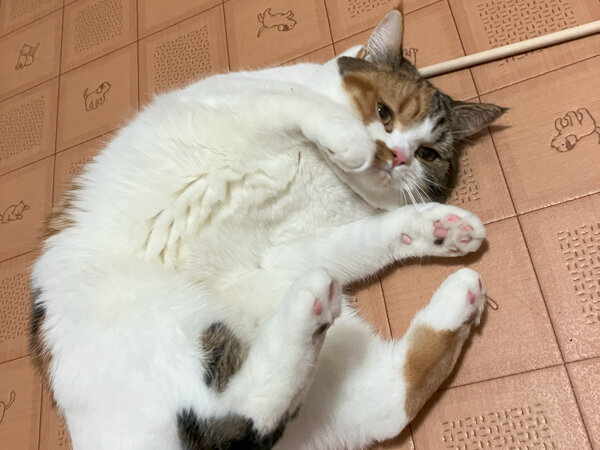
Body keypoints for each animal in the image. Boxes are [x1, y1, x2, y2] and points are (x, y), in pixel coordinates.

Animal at [31, 8, 504, 450]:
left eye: (427, 154)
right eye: (383, 112)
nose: (398, 156)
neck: (323, 175)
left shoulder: (295, 249)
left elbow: (370, 238)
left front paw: (439, 226)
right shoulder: (251, 104)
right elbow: (301, 104)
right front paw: (355, 147)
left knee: (380, 400)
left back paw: (449, 294)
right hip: (149, 317)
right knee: (231, 415)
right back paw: (312, 303)